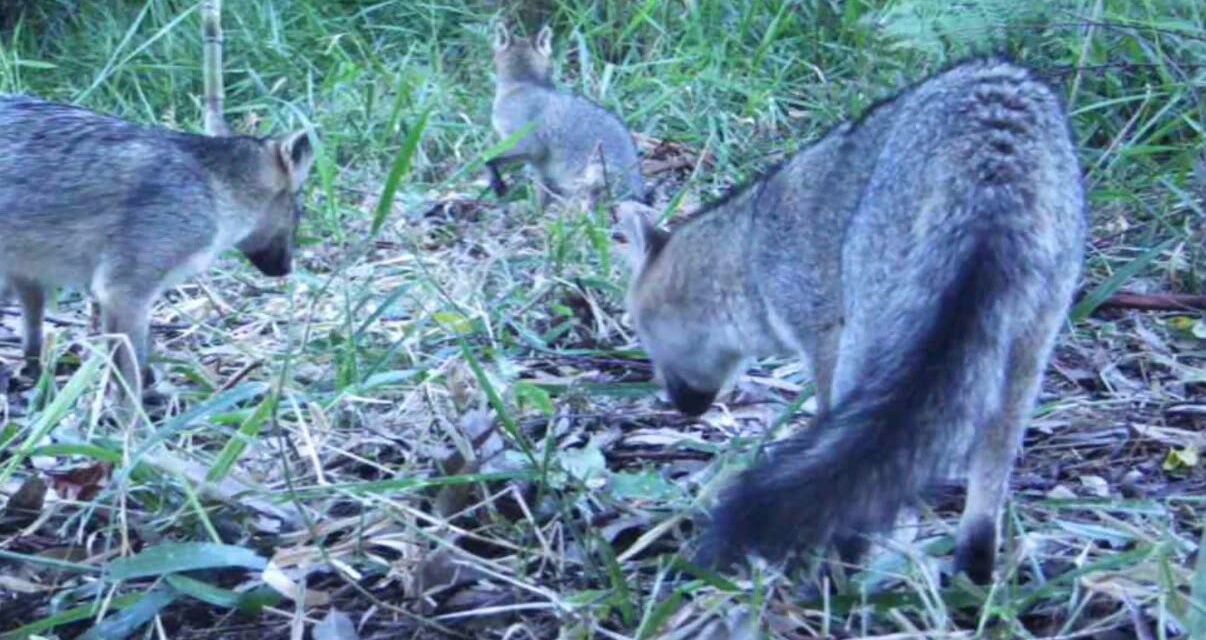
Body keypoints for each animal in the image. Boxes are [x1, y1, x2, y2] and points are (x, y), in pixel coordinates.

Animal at [0, 95, 316, 401]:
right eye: (298, 211)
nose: (286, 269)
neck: (212, 187)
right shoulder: (124, 290)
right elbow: (130, 375)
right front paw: (134, 415)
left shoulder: (92, 293)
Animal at [488, 23, 645, 210]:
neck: (524, 83)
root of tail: (636, 194)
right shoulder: (538, 164)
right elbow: (540, 191)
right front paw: (536, 210)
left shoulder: (529, 144)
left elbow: (488, 158)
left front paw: (497, 181)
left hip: (592, 175)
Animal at [616, 58, 1085, 584]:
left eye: (643, 339)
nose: (681, 409)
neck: (751, 249)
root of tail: (998, 148)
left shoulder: (824, 334)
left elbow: (828, 418)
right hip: (1022, 353)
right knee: (990, 478)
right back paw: (971, 571)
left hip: (873, 334)